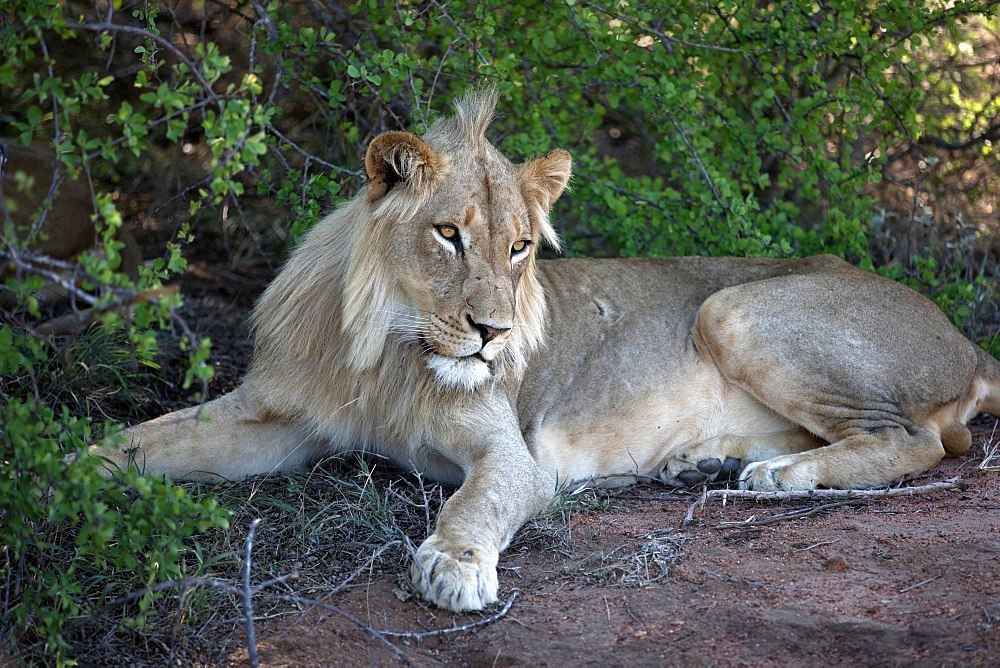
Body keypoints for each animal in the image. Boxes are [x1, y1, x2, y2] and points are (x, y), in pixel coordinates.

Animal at [99, 91, 1000, 612]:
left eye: (521, 248)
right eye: (449, 235)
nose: (493, 333)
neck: (386, 349)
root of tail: (967, 337)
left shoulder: (513, 456)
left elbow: (478, 502)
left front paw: (454, 565)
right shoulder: (277, 418)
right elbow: (140, 442)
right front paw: (74, 476)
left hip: (732, 306)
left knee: (917, 440)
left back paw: (778, 476)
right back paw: (705, 462)